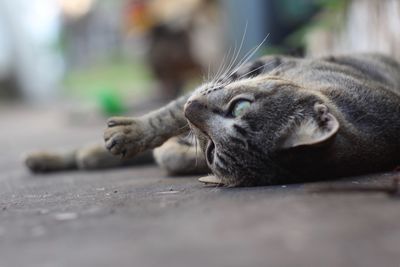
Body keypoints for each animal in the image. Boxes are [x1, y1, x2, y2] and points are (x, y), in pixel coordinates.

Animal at [25, 52, 400, 186]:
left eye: (213, 153)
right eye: (239, 107)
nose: (193, 110)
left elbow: (174, 140)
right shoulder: (256, 66)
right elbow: (169, 115)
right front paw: (132, 134)